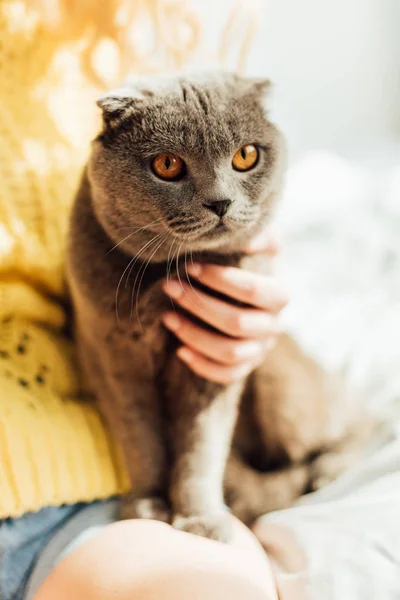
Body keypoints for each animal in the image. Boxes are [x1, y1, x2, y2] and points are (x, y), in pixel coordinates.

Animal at [66, 70, 372, 540]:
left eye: (246, 156)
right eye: (167, 164)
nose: (220, 202)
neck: (166, 280)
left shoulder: (212, 364)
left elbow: (201, 449)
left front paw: (200, 519)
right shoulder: (111, 358)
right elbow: (140, 441)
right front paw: (146, 505)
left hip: (280, 381)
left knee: (361, 417)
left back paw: (330, 468)